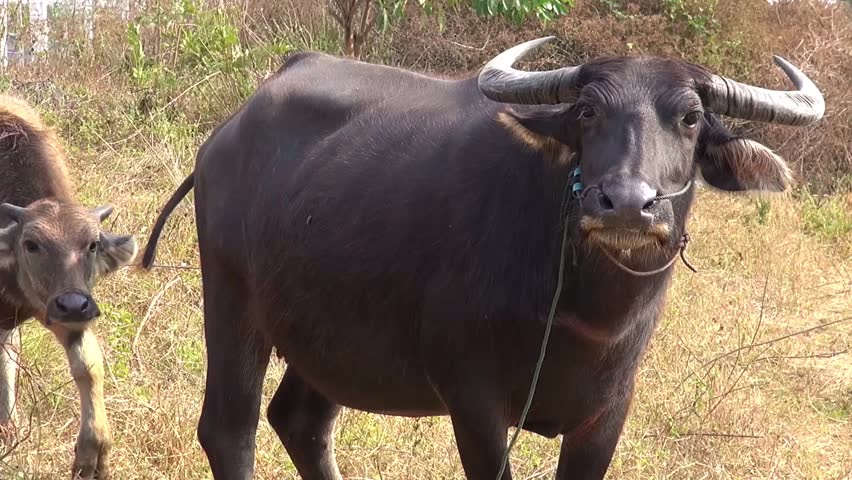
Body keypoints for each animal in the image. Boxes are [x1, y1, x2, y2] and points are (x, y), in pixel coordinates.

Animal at [0, 94, 138, 479]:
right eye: (31, 244)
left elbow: (88, 365)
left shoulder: (56, 309)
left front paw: (93, 452)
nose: (75, 305)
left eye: (92, 244)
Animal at [142, 37, 824, 479]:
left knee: (301, 422)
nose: (627, 203)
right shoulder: (474, 402)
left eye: (690, 117)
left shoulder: (605, 415)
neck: (581, 311)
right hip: (231, 297)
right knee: (230, 431)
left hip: (326, 333)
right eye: (587, 111)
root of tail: (229, 133)